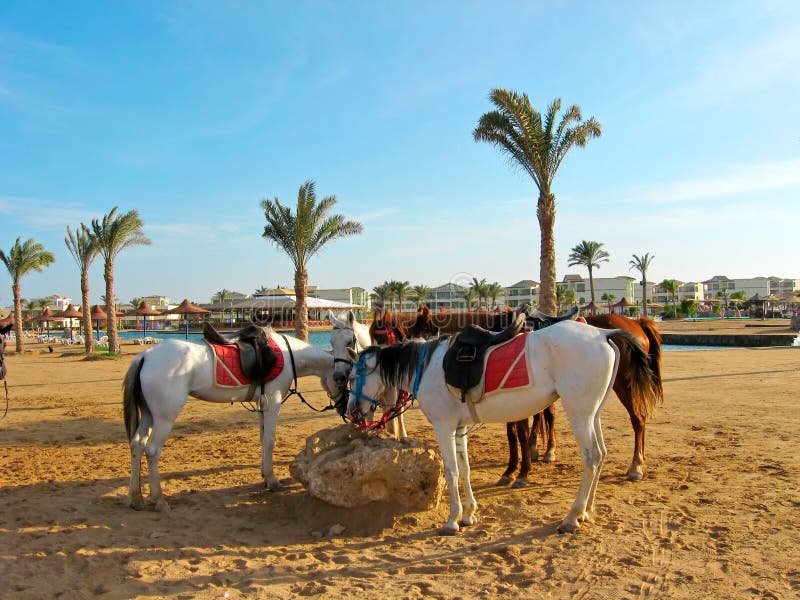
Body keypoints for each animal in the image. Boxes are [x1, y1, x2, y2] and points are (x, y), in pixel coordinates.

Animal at [123, 326, 346, 512]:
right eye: (342, 380)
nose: (343, 408)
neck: (286, 355)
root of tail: (145, 356)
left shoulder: (262, 404)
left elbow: (262, 440)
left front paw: (265, 477)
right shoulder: (273, 402)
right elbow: (270, 441)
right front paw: (272, 480)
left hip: (148, 415)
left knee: (137, 445)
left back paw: (136, 498)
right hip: (164, 417)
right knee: (152, 450)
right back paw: (159, 500)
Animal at [502, 311, 664, 484]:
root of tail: (637, 323)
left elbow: (524, 428)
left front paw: (520, 468)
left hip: (625, 385)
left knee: (638, 419)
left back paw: (636, 466)